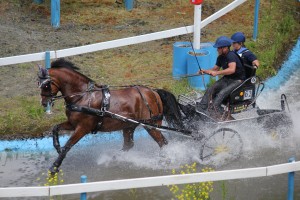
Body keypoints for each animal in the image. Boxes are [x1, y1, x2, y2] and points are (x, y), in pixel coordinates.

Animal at [37, 58, 183, 173]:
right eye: (39, 84)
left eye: (46, 85)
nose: (44, 103)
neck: (83, 96)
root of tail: (153, 92)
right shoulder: (73, 124)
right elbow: (55, 128)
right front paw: (57, 146)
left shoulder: (83, 128)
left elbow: (68, 145)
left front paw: (55, 166)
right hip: (129, 125)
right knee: (129, 145)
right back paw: (115, 157)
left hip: (150, 125)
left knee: (162, 142)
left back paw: (166, 159)